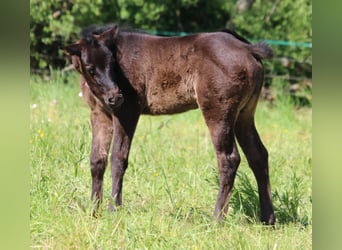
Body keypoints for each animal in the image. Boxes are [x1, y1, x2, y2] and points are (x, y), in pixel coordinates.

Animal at [64, 24, 276, 225]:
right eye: (90, 68)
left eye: (112, 64)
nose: (115, 97)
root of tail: (248, 49)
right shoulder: (99, 114)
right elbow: (97, 160)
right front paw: (94, 211)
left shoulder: (128, 111)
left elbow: (118, 158)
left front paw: (113, 210)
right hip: (244, 114)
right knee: (258, 155)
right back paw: (268, 219)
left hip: (218, 111)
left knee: (229, 158)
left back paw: (215, 220)